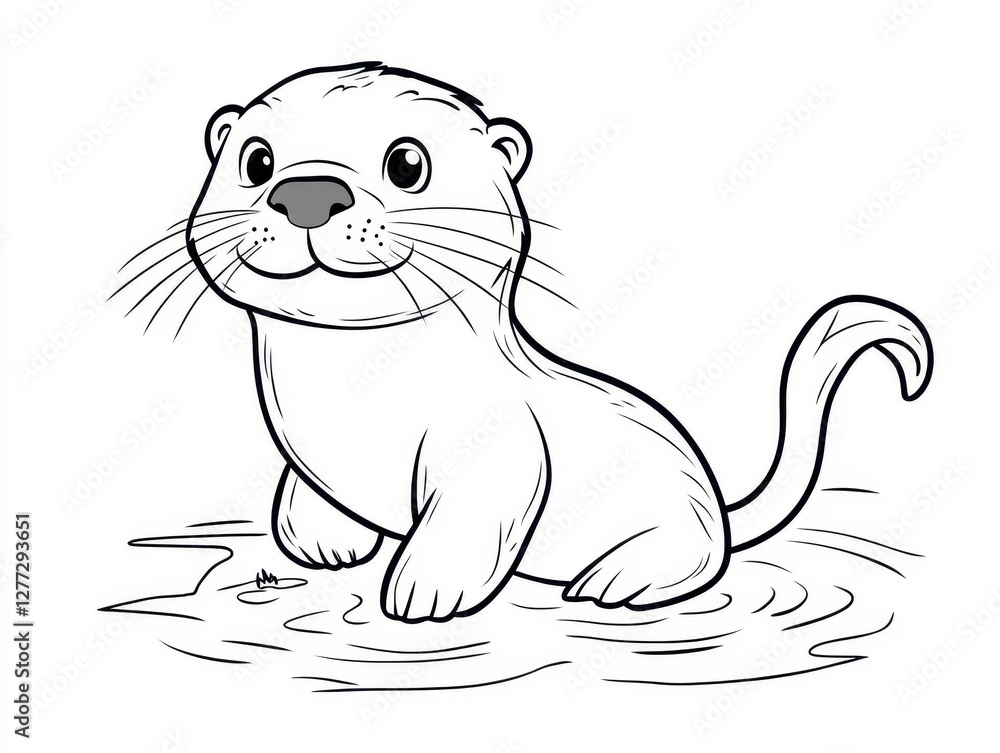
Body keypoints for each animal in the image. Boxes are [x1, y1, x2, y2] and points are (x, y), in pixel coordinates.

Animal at [179, 63, 931, 623]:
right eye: (256, 159)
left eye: (407, 162)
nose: (308, 192)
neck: (357, 393)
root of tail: (718, 501)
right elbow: (308, 490)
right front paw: (321, 538)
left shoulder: (500, 448)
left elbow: (472, 516)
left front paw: (427, 590)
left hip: (676, 516)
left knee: (697, 558)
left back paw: (617, 579)